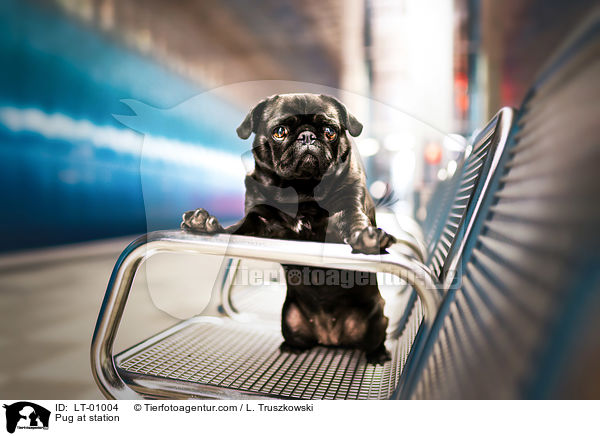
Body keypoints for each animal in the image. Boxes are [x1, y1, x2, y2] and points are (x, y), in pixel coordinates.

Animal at [183, 93, 398, 362]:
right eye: (280, 132)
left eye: (329, 131)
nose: (307, 136)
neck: (301, 190)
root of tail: (330, 338)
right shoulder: (261, 220)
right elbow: (239, 227)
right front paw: (204, 222)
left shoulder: (348, 207)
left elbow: (354, 221)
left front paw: (366, 236)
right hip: (287, 317)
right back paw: (292, 347)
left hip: (378, 316)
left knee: (376, 337)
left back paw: (378, 355)